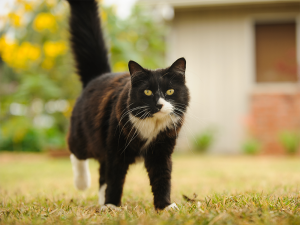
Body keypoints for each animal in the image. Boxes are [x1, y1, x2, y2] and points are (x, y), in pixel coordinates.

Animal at [67, 0, 190, 212]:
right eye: (147, 92)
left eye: (170, 92)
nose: (159, 104)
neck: (151, 126)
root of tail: (98, 76)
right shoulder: (116, 150)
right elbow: (115, 179)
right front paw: (112, 205)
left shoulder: (161, 151)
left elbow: (162, 178)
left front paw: (165, 206)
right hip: (83, 136)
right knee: (77, 153)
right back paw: (82, 183)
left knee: (102, 173)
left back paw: (101, 201)